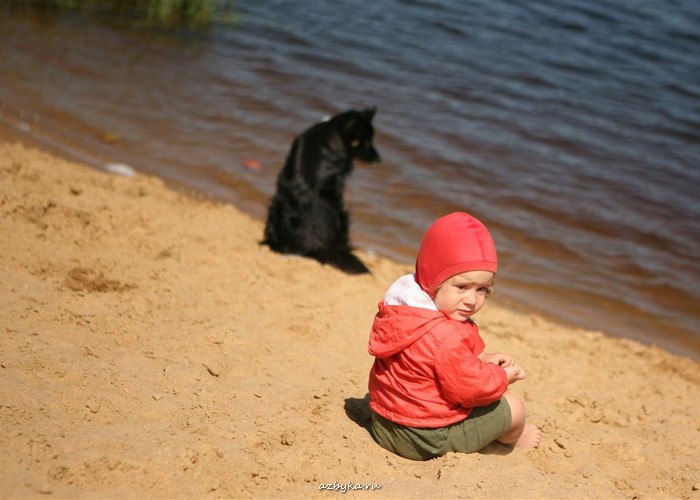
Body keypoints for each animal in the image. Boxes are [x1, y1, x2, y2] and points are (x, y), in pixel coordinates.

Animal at [262, 107, 380, 276]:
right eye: (359, 142)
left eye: (371, 139)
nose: (378, 159)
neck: (333, 128)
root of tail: (316, 245)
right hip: (343, 214)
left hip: (276, 206)